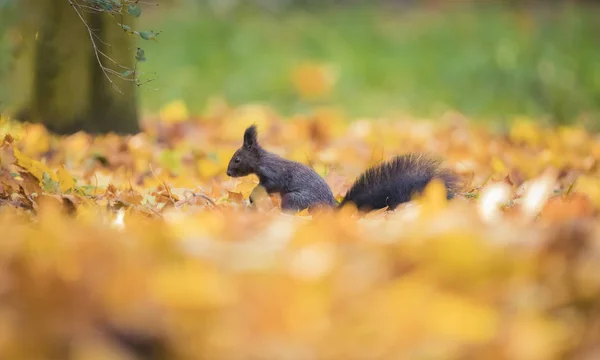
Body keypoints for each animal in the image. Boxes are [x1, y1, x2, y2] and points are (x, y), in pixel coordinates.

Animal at [225, 125, 460, 212]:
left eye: (237, 159)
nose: (228, 173)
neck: (262, 160)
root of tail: (332, 210)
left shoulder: (274, 174)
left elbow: (268, 185)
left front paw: (253, 197)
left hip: (294, 199)